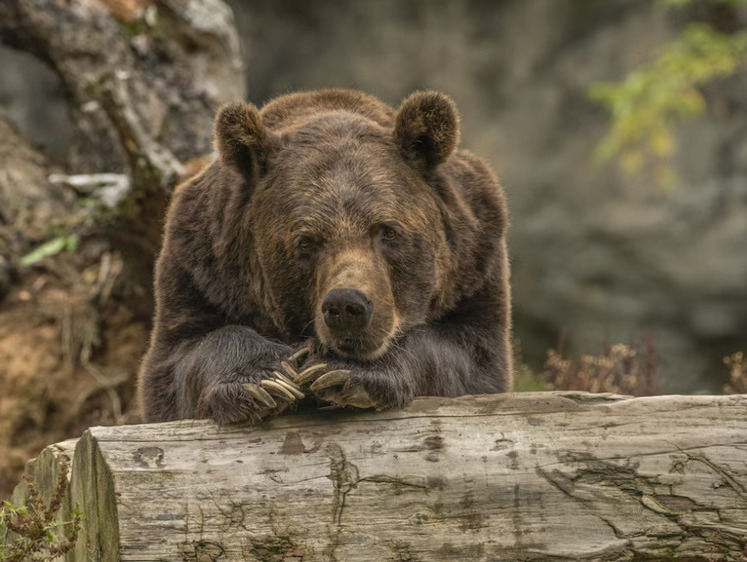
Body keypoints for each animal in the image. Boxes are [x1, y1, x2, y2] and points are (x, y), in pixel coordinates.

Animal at [139, 87, 516, 422]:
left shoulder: (474, 265)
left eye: (387, 230)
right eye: (306, 241)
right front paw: (265, 380)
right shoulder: (201, 269)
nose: (347, 306)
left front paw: (341, 370)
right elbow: (180, 359)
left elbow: (468, 358)